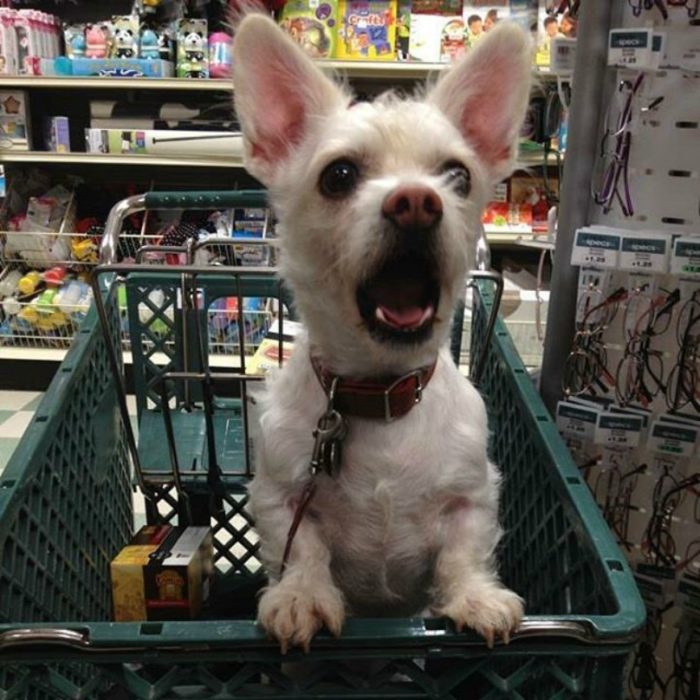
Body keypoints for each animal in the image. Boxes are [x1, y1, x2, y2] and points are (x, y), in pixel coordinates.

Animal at [232, 10, 532, 652]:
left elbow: (463, 554)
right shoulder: (280, 496)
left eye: (457, 176)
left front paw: (474, 597)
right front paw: (301, 597)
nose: (417, 201)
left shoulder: (473, 499)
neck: (380, 394)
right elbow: (303, 552)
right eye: (339, 175)